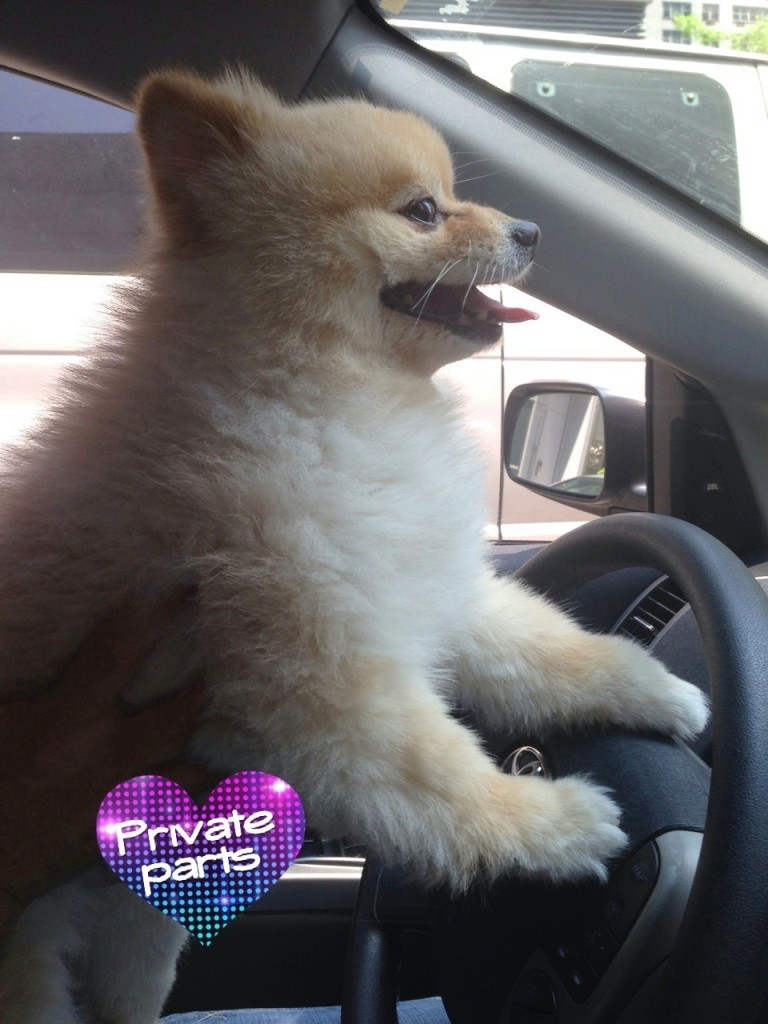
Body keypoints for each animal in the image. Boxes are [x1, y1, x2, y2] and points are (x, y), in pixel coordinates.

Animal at [0, 68, 708, 1019]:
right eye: (423, 210)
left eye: (451, 193)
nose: (532, 230)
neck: (332, 385)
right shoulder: (315, 675)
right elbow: (439, 778)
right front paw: (555, 822)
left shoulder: (427, 581)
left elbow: (547, 652)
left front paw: (662, 686)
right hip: (32, 959)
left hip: (140, 917)